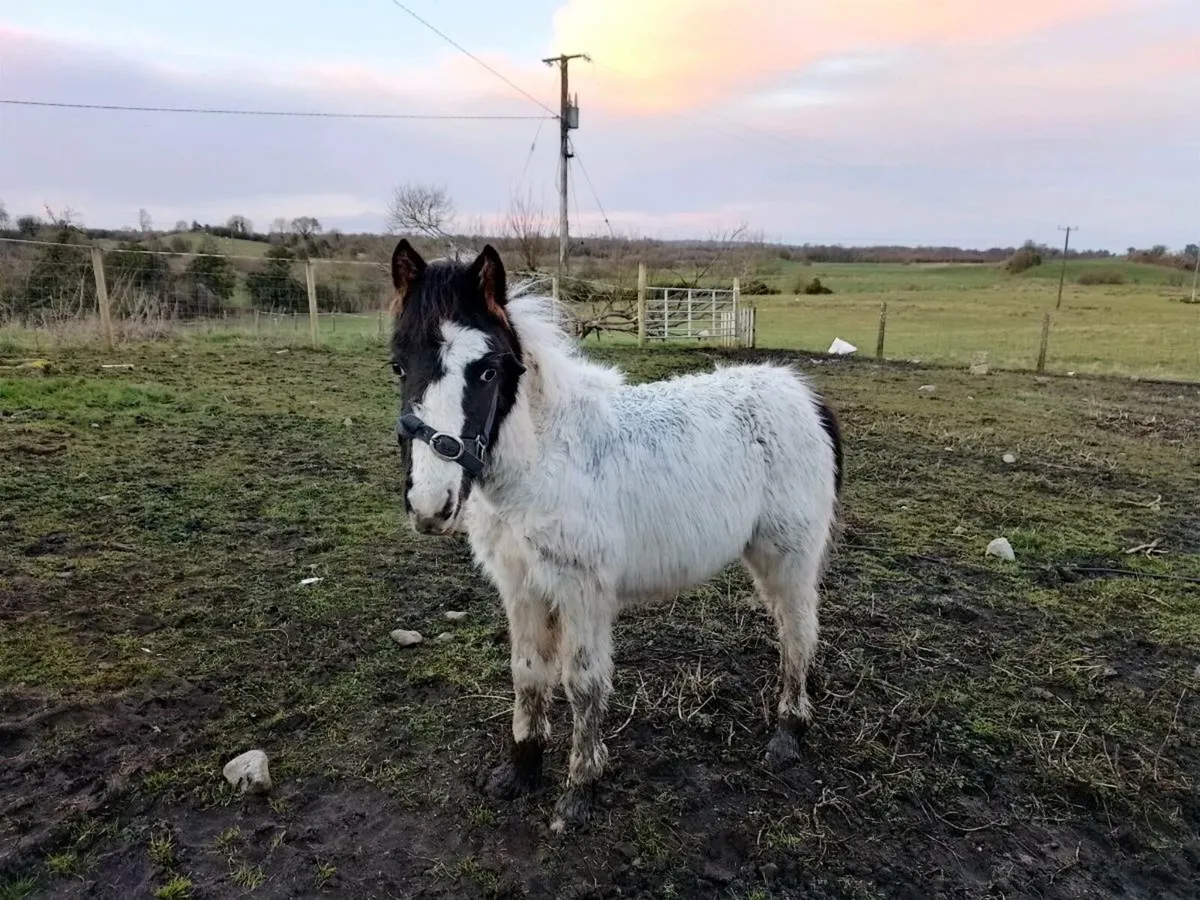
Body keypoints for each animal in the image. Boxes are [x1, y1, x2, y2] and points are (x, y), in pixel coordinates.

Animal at [388, 239, 843, 833]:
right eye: (398, 365)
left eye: (486, 371)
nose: (429, 504)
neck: (546, 458)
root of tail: (804, 397)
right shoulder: (522, 588)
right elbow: (528, 673)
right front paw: (520, 771)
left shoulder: (583, 592)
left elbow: (583, 685)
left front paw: (579, 791)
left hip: (788, 557)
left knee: (798, 633)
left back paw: (789, 733)